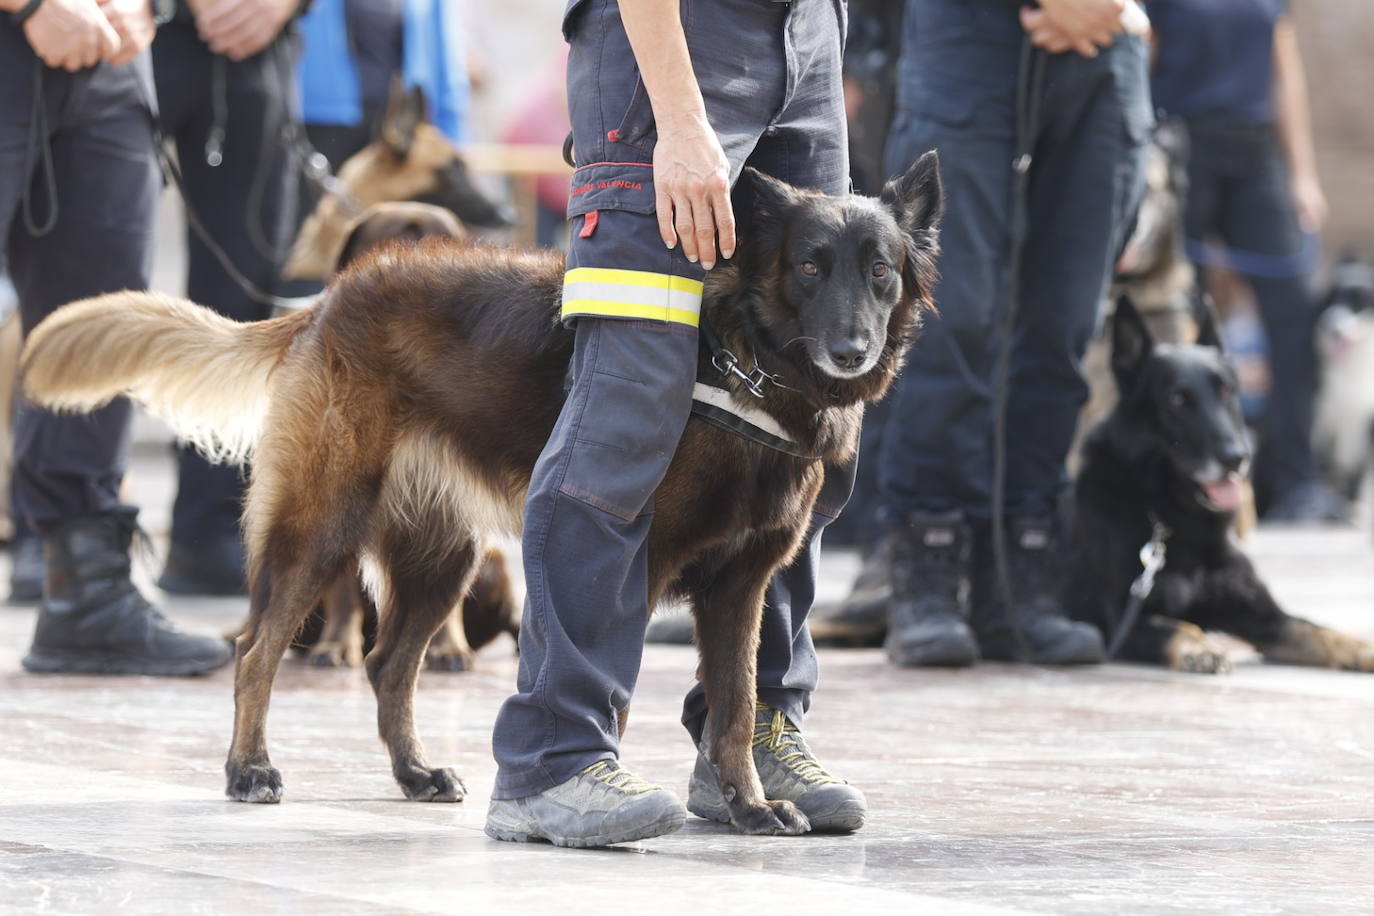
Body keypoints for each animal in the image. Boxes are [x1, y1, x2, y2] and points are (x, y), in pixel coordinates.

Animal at [21, 155, 945, 829]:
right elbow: (606, 685)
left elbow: (738, 708)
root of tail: (331, 299)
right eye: (811, 267)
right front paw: (593, 788)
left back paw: (413, 773)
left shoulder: (740, 589)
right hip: (320, 531)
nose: (853, 352)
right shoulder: (629, 565)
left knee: (390, 665)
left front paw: (749, 808)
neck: (744, 364)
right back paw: (249, 770)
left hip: (443, 560)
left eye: (881, 273)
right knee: (256, 652)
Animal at [1071, 295, 1374, 672]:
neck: (1175, 521)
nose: (1237, 458)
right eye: (1177, 400)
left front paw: (1362, 647)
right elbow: (1174, 625)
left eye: (1227, 391)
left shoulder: (1264, 617)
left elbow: (1319, 631)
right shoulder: (1125, 623)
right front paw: (1198, 646)